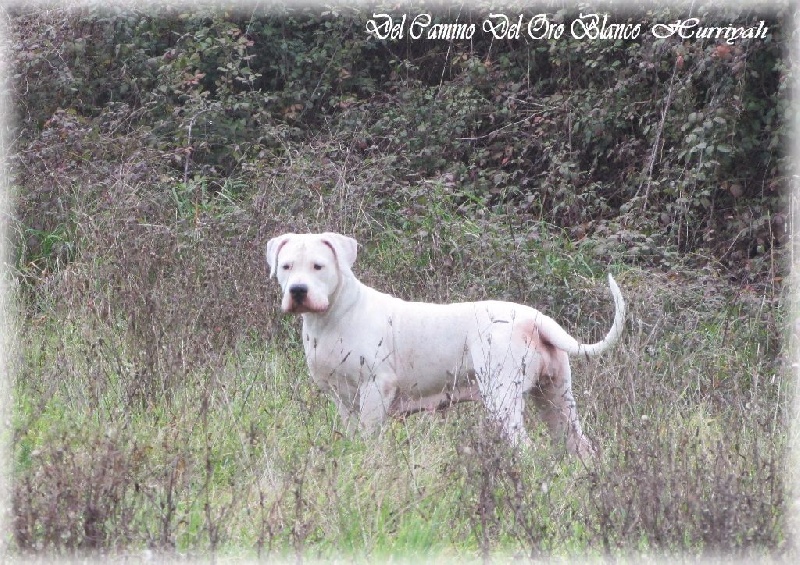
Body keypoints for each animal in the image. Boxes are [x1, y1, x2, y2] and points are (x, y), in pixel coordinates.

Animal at [268, 231, 624, 456]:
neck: (334, 316)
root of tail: (533, 318)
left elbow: (369, 441)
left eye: (318, 266)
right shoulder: (343, 400)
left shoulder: (375, 389)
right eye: (286, 266)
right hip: (555, 397)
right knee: (579, 446)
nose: (298, 290)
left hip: (503, 398)